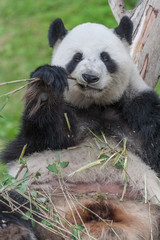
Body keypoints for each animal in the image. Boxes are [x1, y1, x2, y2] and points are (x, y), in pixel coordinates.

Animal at [0, 15, 160, 239]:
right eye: (77, 57)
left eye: (105, 57)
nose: (90, 77)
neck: (95, 105)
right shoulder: (64, 120)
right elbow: (36, 139)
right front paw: (46, 86)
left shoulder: (140, 109)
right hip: (38, 197)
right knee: (12, 201)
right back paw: (12, 230)